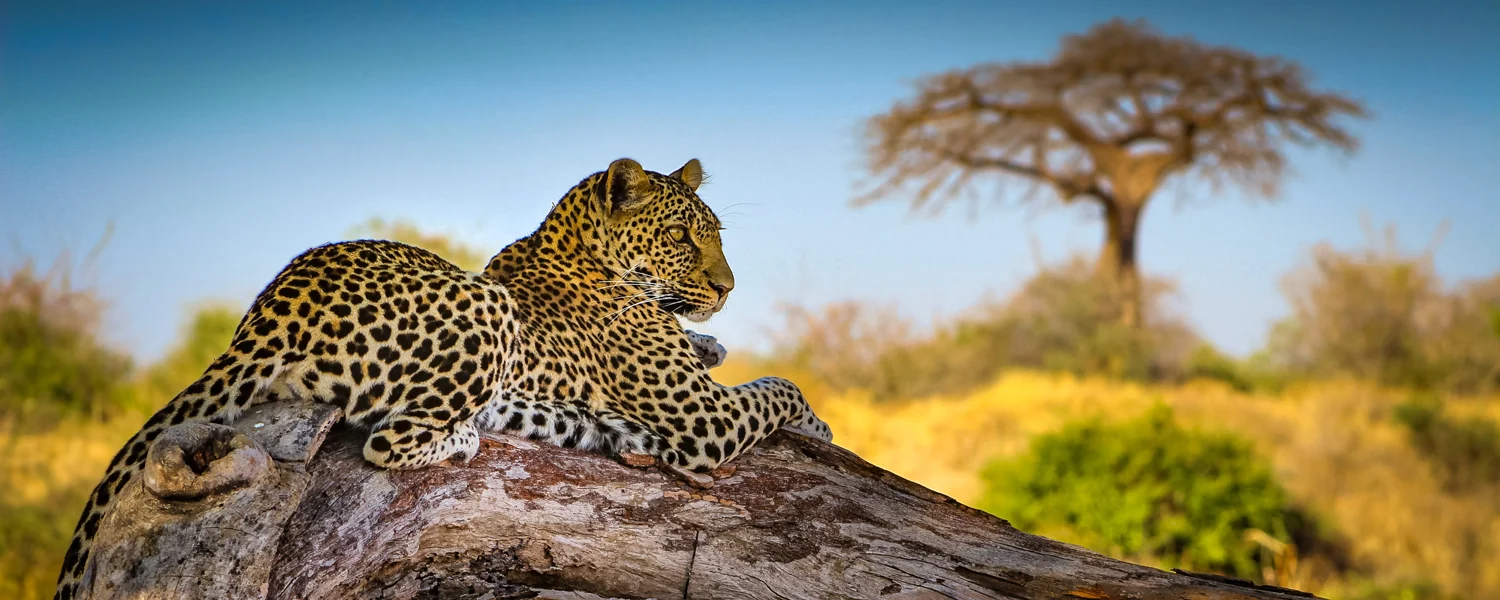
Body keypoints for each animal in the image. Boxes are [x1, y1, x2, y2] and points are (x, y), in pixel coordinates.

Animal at [54, 158, 829, 600]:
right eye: (681, 237)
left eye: (716, 232)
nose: (728, 289)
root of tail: (267, 314)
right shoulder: (702, 421)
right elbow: (779, 389)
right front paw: (816, 421)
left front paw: (711, 340)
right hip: (485, 310)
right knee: (387, 440)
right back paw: (465, 439)